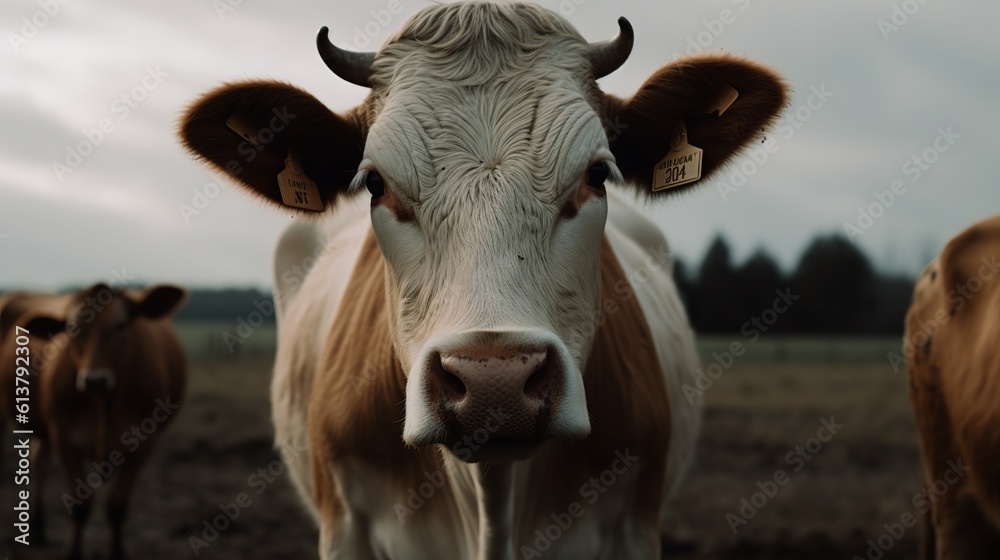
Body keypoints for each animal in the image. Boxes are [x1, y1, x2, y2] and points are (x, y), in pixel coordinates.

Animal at [0, 284, 187, 560]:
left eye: (121, 325)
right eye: (72, 330)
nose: (94, 380)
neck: (104, 403)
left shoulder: (145, 443)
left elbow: (117, 506)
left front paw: (117, 554)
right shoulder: (63, 438)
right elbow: (80, 506)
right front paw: (72, 553)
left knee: (37, 460)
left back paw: (38, 529)